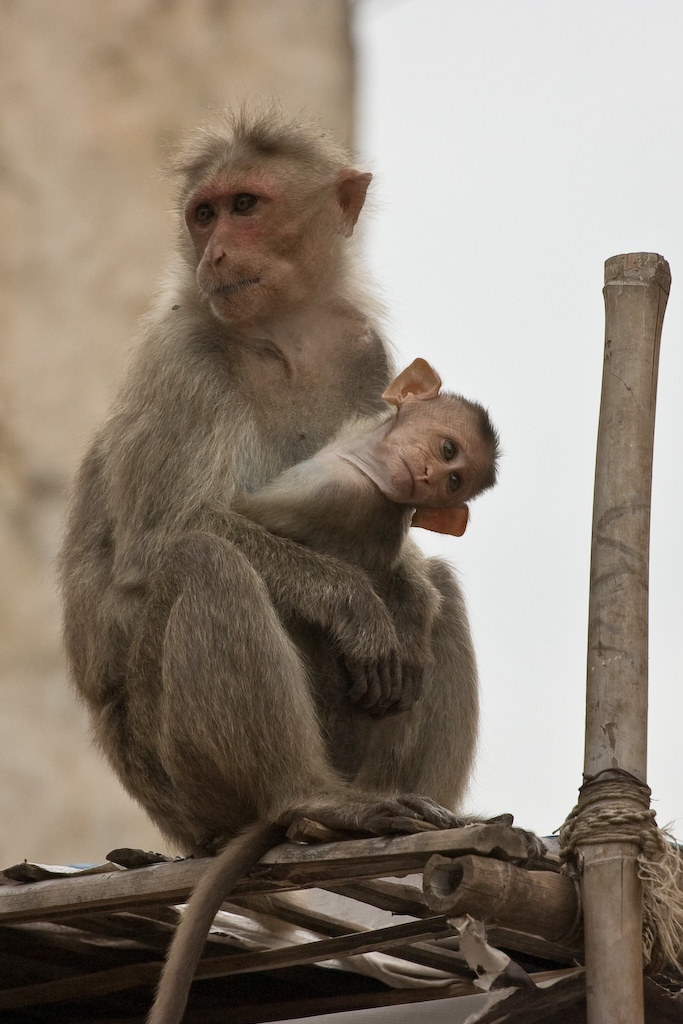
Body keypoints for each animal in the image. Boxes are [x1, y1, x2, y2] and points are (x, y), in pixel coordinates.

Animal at [60, 110, 481, 880]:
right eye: (204, 214)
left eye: (246, 205)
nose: (217, 253)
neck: (280, 333)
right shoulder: (180, 357)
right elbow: (167, 536)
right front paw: (352, 602)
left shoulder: (363, 350)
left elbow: (402, 555)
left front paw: (405, 600)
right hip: (179, 786)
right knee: (203, 561)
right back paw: (308, 802)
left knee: (442, 591)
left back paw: (423, 814)